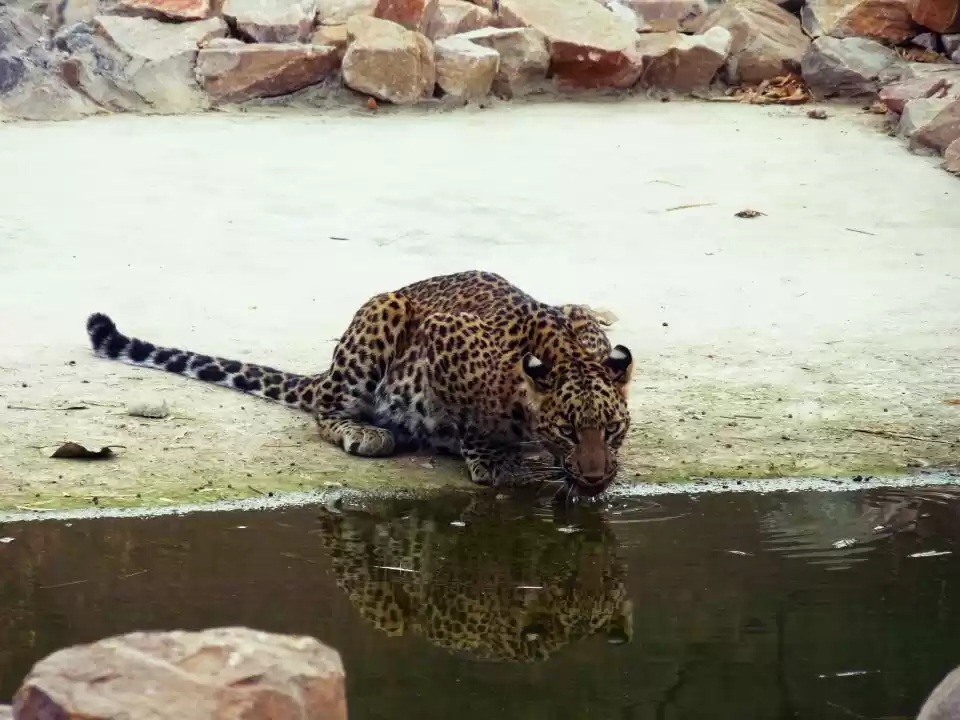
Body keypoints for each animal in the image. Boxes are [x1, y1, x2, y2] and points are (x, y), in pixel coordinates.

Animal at [85, 271, 633, 496]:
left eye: (612, 430)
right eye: (567, 431)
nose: (594, 478)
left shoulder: (584, 316)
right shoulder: (446, 337)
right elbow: (473, 419)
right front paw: (493, 460)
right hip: (381, 312)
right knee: (324, 410)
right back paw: (367, 432)